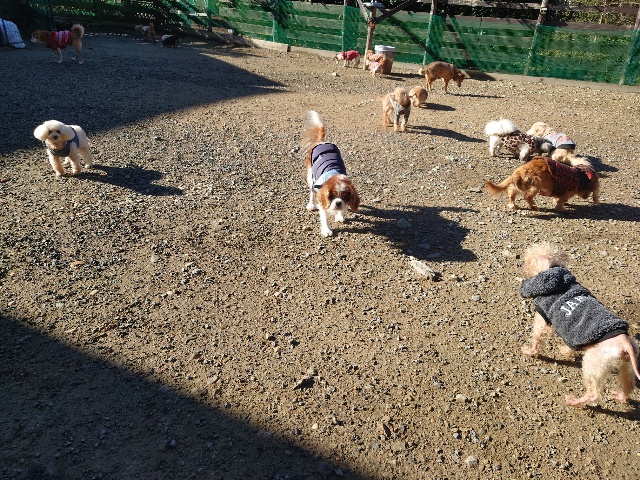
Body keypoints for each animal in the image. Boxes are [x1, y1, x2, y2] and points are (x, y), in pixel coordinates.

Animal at [520, 242, 640, 407]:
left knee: (594, 394)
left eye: (529, 259)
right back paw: (621, 396)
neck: (557, 273)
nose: (522, 263)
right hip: (626, 365)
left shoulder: (542, 318)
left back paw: (575, 401)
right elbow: (571, 345)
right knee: (629, 385)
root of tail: (624, 342)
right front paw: (566, 351)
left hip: (593, 363)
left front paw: (530, 352)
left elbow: (537, 338)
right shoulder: (574, 335)